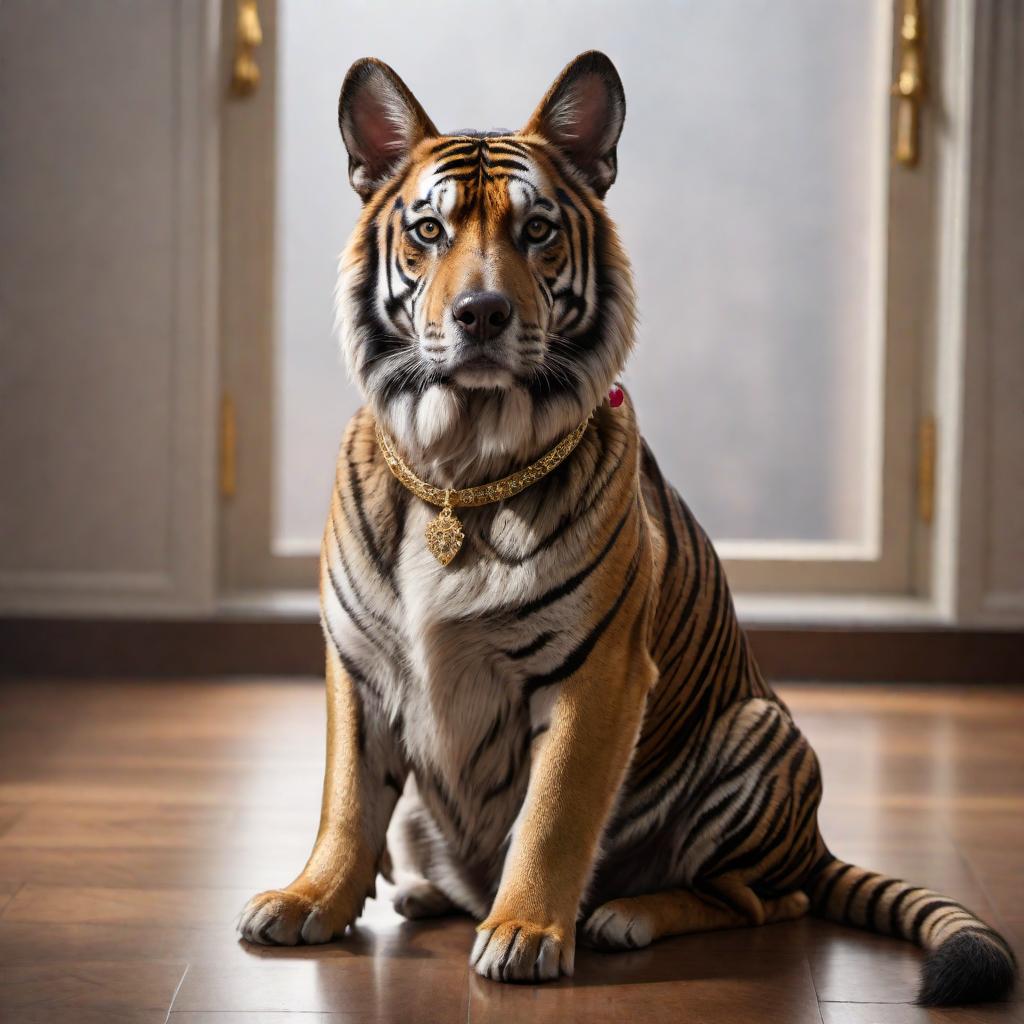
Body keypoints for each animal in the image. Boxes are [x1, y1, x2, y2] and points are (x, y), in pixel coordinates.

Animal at [239, 51, 1015, 1003]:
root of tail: (817, 843)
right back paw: (427, 892)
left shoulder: (597, 674)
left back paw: (623, 916)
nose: (482, 313)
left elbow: (554, 815)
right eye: (428, 229)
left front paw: (526, 932)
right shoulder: (358, 666)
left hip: (757, 738)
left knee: (759, 898)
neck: (462, 467)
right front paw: (310, 900)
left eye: (537, 230)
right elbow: (347, 801)